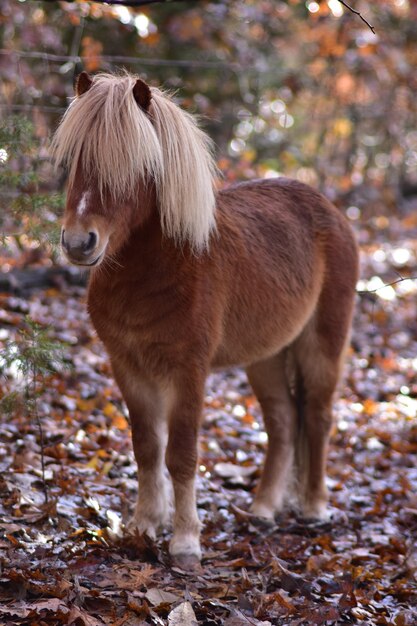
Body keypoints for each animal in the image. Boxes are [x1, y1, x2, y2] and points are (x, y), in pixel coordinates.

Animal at [52, 70, 358, 568]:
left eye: (136, 166)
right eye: (78, 157)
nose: (79, 243)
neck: (164, 265)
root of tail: (330, 210)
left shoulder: (188, 370)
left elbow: (181, 453)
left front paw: (185, 541)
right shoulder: (128, 367)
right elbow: (147, 448)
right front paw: (142, 526)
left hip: (322, 347)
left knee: (317, 415)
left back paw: (314, 508)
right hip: (266, 356)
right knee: (282, 421)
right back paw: (263, 510)